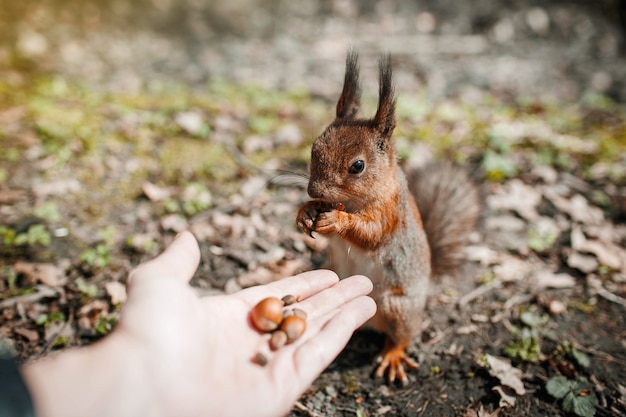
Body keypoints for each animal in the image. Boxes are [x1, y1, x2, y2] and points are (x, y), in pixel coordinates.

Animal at [294, 51, 478, 384]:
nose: (313, 189)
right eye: (314, 149)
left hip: (398, 306)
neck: (350, 202)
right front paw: (306, 211)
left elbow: (373, 234)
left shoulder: (390, 212)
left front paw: (337, 222)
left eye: (357, 166)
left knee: (402, 335)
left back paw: (393, 355)